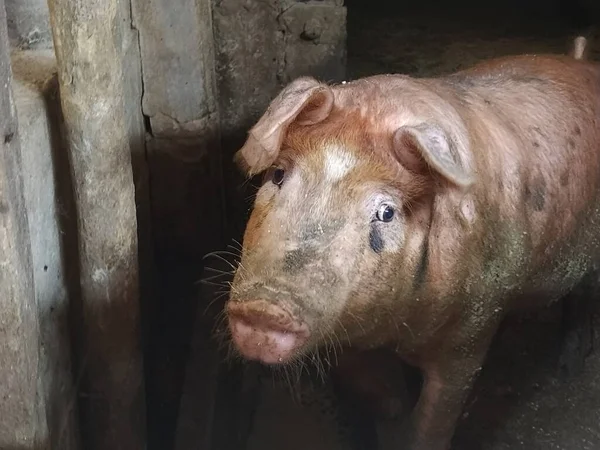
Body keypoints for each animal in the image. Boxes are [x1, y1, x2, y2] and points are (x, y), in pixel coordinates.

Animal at [224, 50, 600, 450]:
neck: (395, 328)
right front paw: (389, 412)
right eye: (278, 175)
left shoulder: (474, 328)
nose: (265, 307)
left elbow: (433, 422)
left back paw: (569, 366)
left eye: (386, 212)